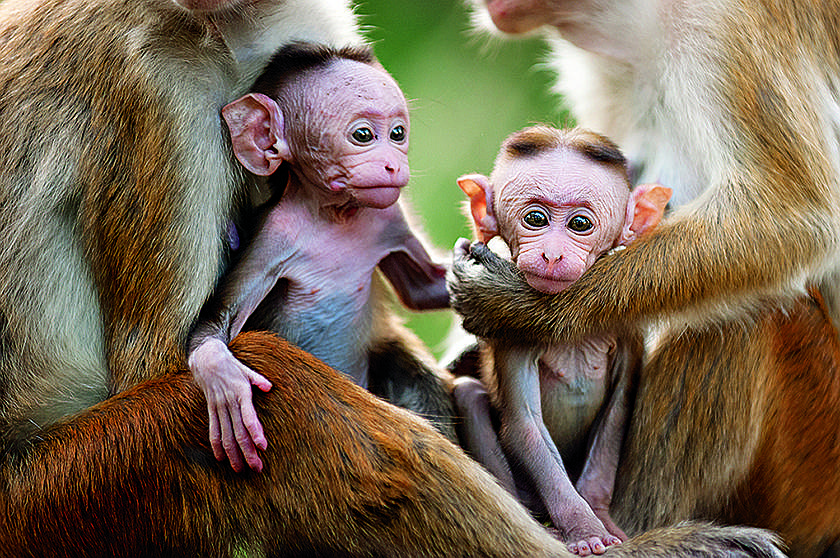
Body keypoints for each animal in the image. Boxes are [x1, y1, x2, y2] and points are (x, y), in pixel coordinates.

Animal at [188, 43, 454, 472]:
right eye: (363, 135)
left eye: (398, 134)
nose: (395, 164)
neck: (335, 214)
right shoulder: (274, 236)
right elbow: (217, 322)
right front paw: (221, 375)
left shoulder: (387, 218)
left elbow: (424, 290)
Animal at [451, 126, 671, 555]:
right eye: (535, 219)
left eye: (580, 224)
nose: (552, 255)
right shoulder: (512, 332)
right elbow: (526, 427)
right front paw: (583, 529)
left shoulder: (626, 326)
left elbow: (617, 411)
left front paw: (599, 514)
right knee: (469, 394)